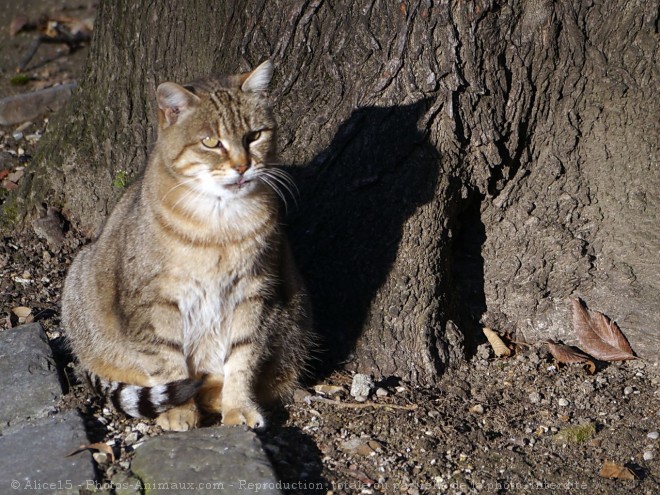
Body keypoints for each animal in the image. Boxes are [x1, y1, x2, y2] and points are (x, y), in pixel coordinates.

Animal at [60, 62, 312, 432]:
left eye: (254, 136)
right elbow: (166, 359)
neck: (220, 224)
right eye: (211, 142)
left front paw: (238, 407)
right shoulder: (154, 301)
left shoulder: (253, 293)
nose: (242, 166)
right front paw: (179, 412)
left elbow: (243, 357)